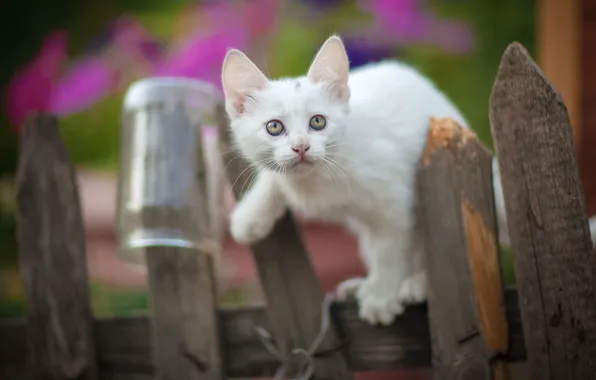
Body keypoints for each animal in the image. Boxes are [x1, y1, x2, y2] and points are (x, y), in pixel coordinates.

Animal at [221, 36, 596, 326]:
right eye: (274, 127)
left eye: (317, 122)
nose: (301, 147)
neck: (317, 181)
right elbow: (275, 177)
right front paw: (250, 217)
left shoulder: (393, 199)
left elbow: (390, 248)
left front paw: (382, 296)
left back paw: (416, 284)